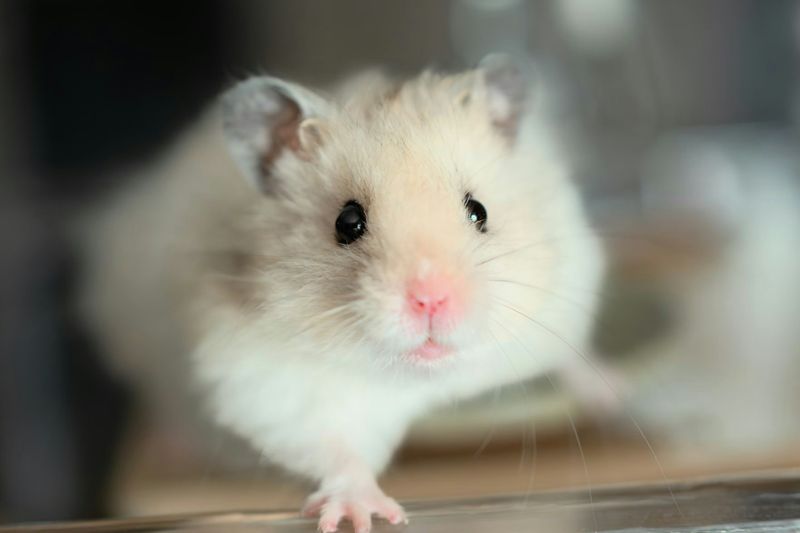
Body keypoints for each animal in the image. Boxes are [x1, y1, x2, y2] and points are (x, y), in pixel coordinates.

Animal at [80, 55, 605, 533]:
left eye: (479, 211)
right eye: (347, 222)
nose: (431, 300)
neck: (423, 378)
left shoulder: (562, 297)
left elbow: (569, 355)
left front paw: (609, 395)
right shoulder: (272, 386)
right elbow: (337, 451)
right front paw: (362, 516)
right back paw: (170, 448)